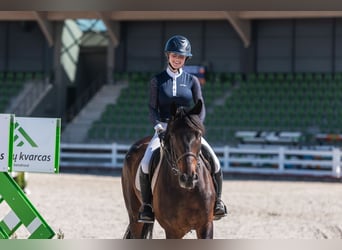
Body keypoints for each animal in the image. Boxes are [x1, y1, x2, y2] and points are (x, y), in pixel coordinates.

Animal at [121, 99, 215, 238]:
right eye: (173, 136)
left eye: (198, 134)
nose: (188, 178)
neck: (187, 191)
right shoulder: (173, 230)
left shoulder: (206, 225)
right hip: (135, 217)